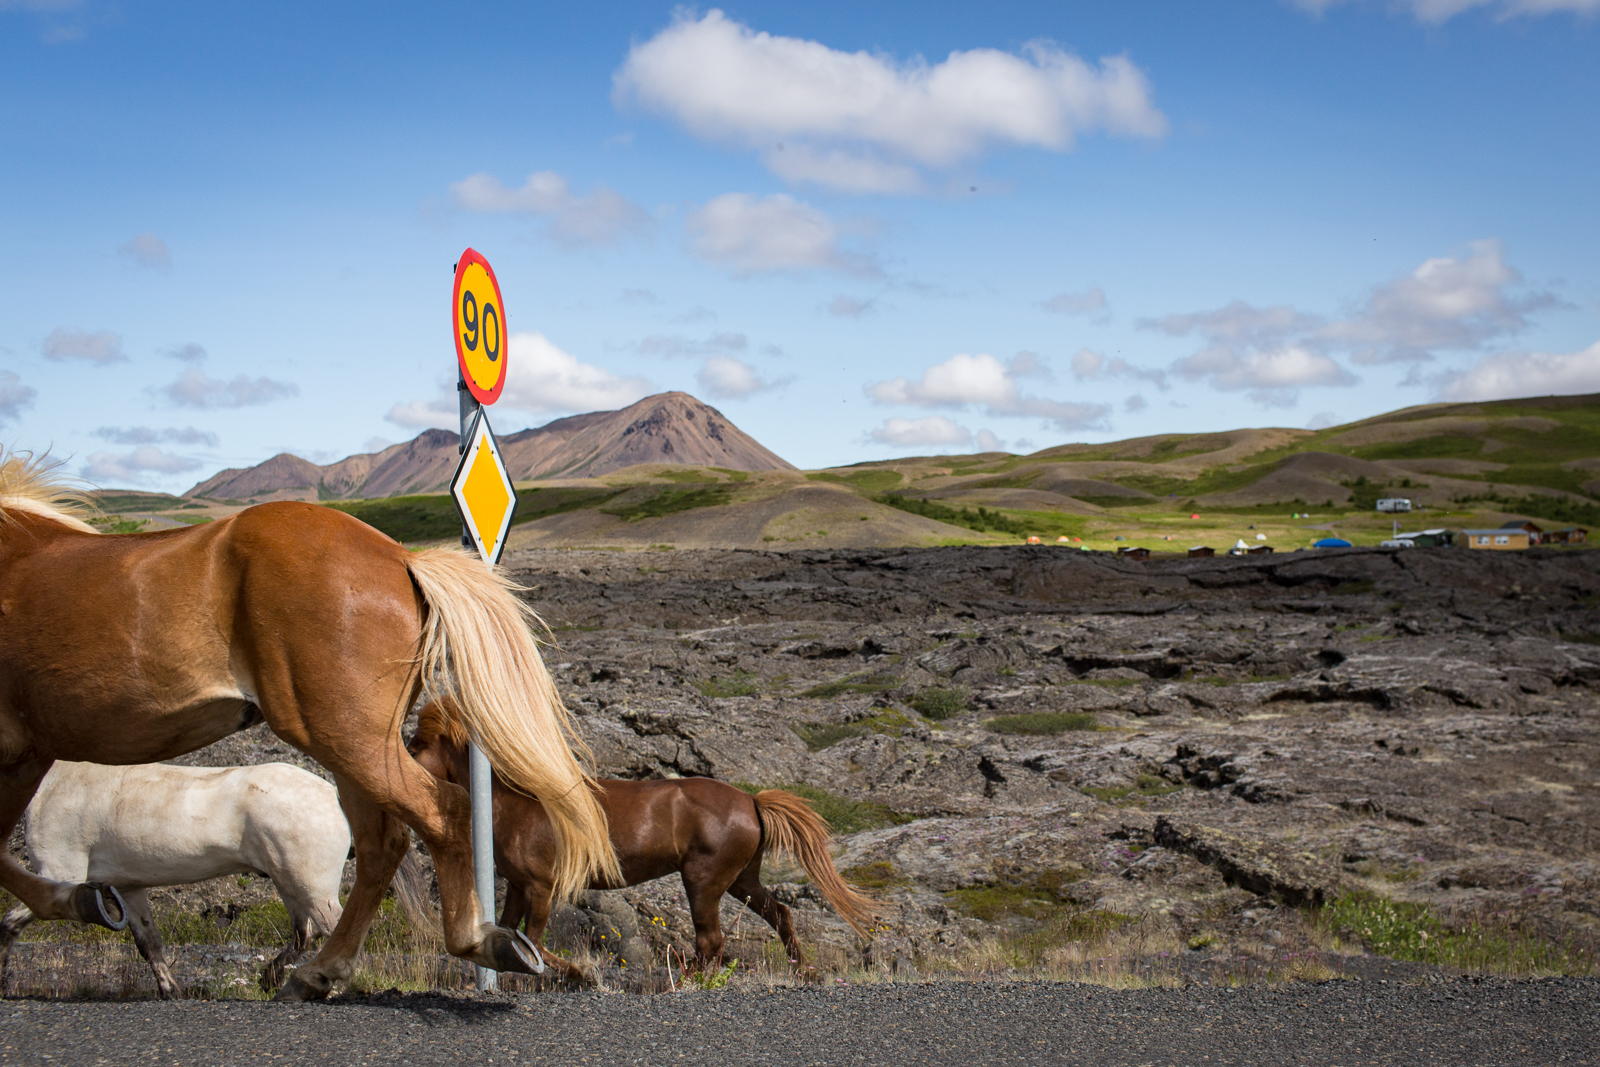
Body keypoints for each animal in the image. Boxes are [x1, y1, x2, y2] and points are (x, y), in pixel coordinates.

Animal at [0, 764, 348, 998]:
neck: (56, 782)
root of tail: (332, 793)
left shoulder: (59, 873)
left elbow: (11, 921)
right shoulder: (128, 888)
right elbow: (148, 943)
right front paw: (171, 991)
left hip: (309, 884)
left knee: (332, 930)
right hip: (288, 881)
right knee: (306, 934)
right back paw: (272, 979)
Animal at [400, 700, 876, 985]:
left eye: (417, 742)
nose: (400, 759)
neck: (515, 803)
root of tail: (751, 801)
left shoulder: (541, 886)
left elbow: (534, 941)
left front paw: (578, 974)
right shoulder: (518, 886)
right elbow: (511, 933)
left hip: (703, 881)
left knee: (711, 941)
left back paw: (680, 982)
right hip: (741, 879)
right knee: (779, 914)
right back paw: (803, 970)